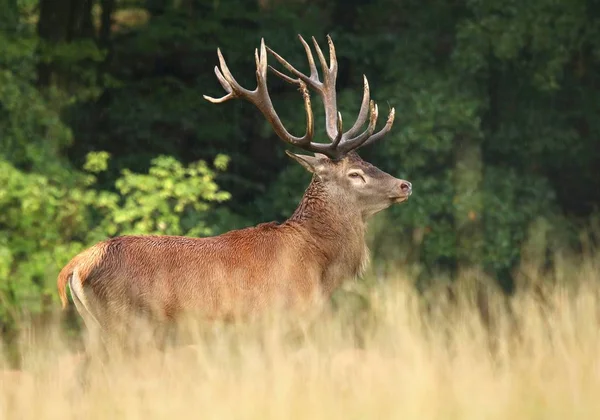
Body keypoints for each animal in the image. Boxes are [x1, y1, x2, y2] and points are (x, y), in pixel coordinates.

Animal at [56, 35, 412, 352]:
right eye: (355, 174)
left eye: (367, 162)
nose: (404, 184)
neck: (316, 266)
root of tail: (75, 266)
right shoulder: (275, 322)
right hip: (126, 326)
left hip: (98, 329)